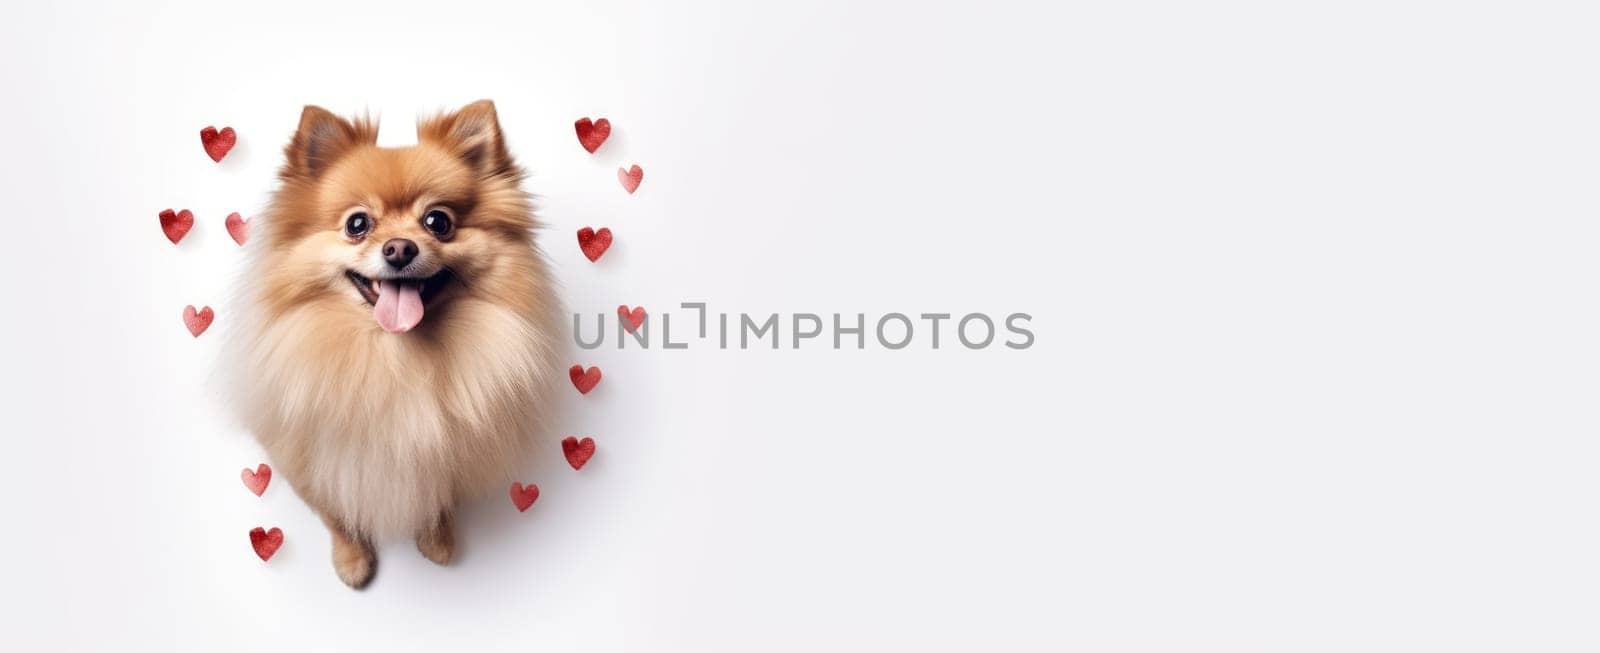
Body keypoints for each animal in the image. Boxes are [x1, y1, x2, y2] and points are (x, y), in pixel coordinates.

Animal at [224, 100, 563, 585]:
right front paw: (352, 560)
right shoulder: (310, 458)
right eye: (357, 224)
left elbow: (436, 498)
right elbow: (335, 511)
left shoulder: (445, 456)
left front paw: (437, 540)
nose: (399, 248)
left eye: (438, 222)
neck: (393, 359)